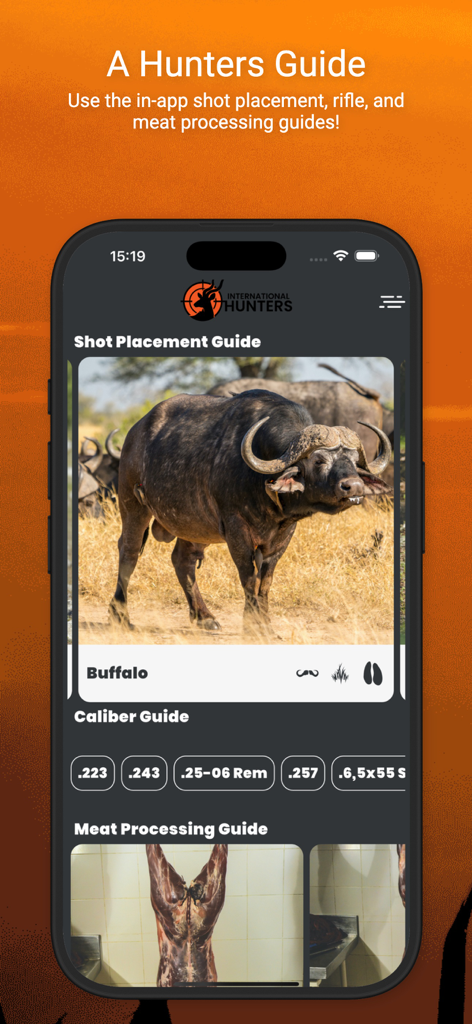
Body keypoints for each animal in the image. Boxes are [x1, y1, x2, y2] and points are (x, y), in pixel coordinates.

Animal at [110, 390, 391, 632]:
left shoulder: (283, 534)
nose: (353, 486)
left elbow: (265, 580)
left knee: (182, 560)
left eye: (353, 461)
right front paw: (252, 625)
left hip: (194, 525)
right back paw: (120, 615)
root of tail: (135, 432)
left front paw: (264, 623)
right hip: (132, 506)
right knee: (129, 551)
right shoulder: (236, 528)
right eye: (319, 460)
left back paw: (204, 617)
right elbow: (248, 577)